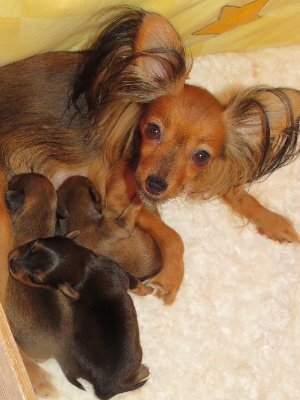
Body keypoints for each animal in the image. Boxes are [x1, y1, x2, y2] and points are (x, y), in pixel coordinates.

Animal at [8, 234, 150, 400]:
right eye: (31, 246)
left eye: (36, 277)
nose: (11, 262)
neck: (83, 267)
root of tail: (104, 386)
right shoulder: (120, 272)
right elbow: (135, 283)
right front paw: (148, 289)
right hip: (135, 357)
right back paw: (144, 371)